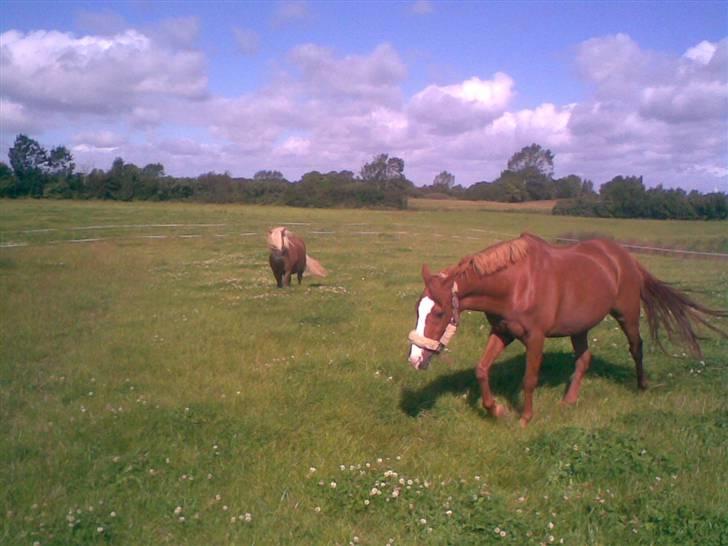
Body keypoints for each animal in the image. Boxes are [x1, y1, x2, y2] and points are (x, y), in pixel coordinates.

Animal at [406, 231, 724, 424]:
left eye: (439, 312)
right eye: (417, 309)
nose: (415, 359)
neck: (516, 284)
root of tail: (626, 258)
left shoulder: (535, 338)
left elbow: (529, 379)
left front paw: (525, 418)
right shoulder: (503, 332)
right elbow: (482, 370)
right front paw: (497, 409)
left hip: (628, 315)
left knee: (636, 347)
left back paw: (642, 385)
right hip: (579, 328)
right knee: (583, 359)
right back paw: (569, 401)